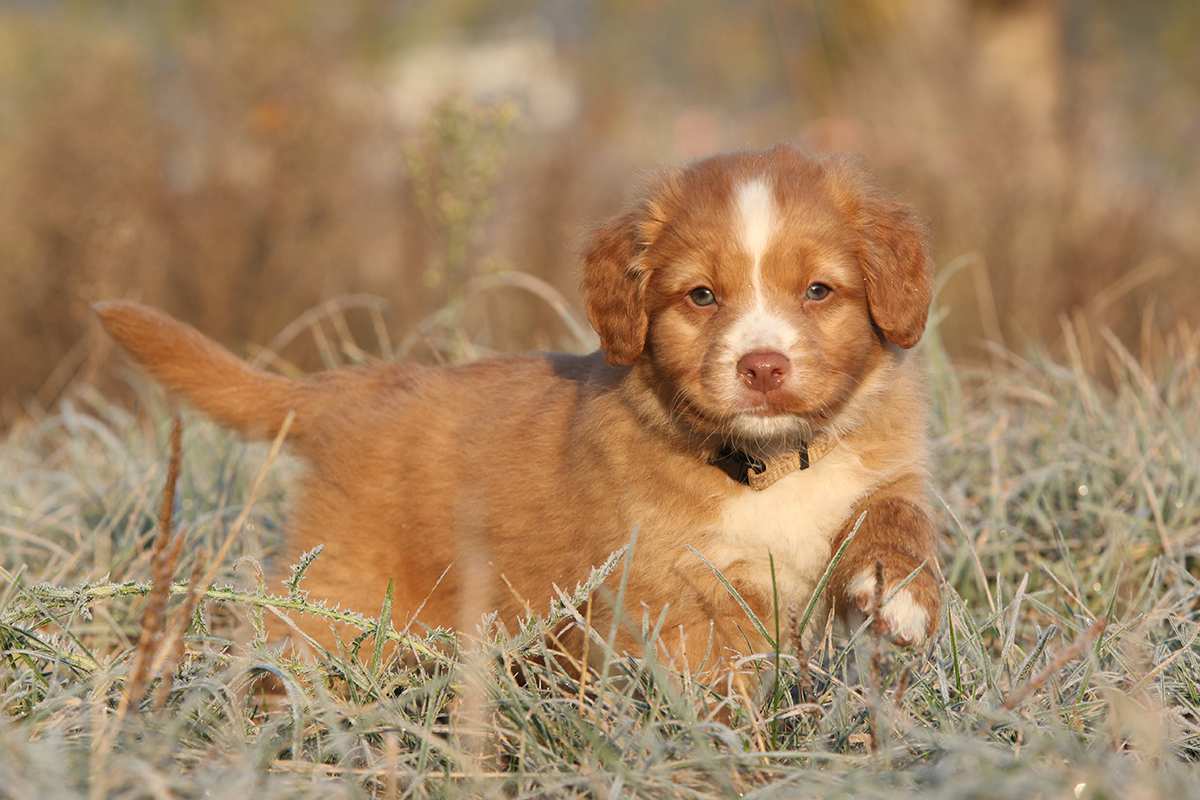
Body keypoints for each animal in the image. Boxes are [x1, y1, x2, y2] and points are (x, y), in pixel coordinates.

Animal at [98, 145, 940, 676]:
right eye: (701, 296)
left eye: (819, 291)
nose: (763, 367)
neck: (768, 463)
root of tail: (349, 386)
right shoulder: (678, 596)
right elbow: (718, 690)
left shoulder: (882, 472)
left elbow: (895, 518)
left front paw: (897, 596)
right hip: (342, 599)